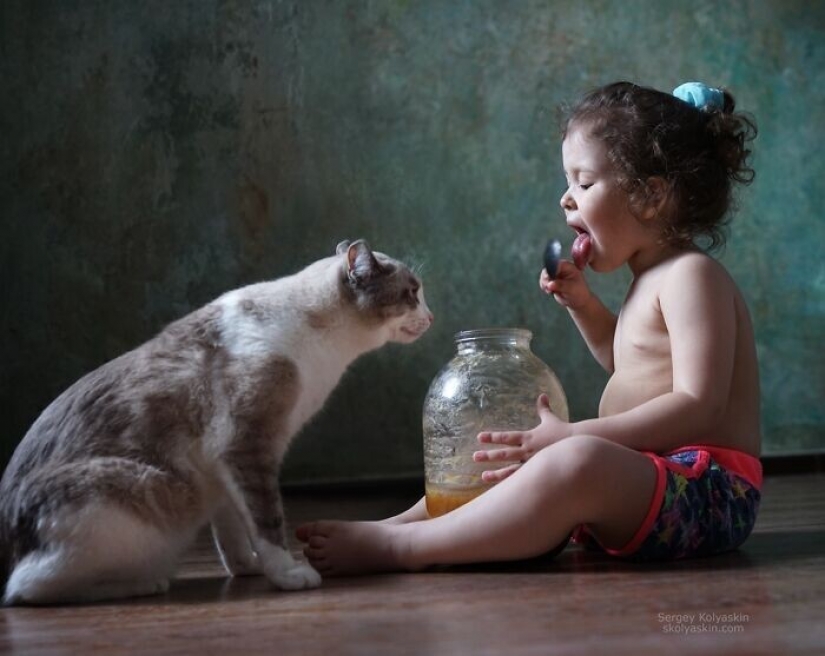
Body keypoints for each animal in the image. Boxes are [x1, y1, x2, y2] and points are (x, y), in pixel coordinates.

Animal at [0, 238, 434, 604]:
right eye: (412, 294)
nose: (431, 317)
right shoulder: (246, 447)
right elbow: (267, 521)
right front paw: (289, 573)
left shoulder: (223, 467)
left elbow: (234, 533)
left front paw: (249, 569)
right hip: (135, 491)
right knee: (24, 588)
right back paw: (142, 583)